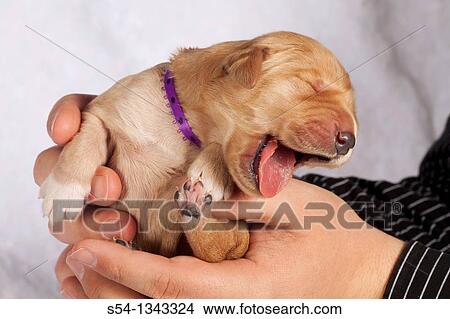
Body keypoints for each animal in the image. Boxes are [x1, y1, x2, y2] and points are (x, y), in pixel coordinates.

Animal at [38, 31, 356, 264]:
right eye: (313, 87)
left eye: (353, 109)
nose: (350, 141)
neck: (184, 135)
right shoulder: (102, 112)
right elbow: (87, 138)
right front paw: (62, 190)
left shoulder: (233, 240)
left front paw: (207, 180)